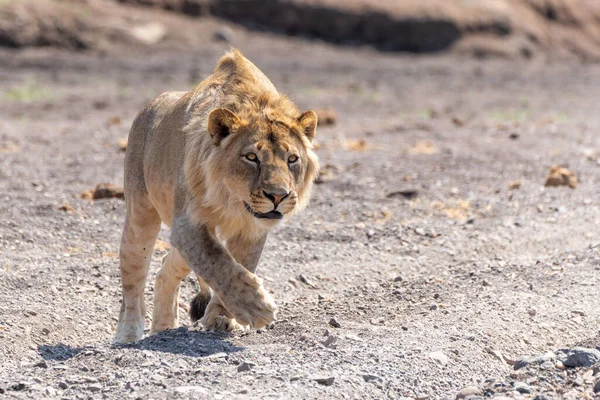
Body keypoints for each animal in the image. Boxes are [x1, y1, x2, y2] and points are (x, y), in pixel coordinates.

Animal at [112, 49, 318, 344]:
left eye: (292, 159)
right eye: (251, 157)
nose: (278, 196)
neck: (231, 202)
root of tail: (149, 105)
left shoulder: (251, 230)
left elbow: (238, 264)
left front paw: (222, 318)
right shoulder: (187, 223)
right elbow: (218, 263)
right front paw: (257, 307)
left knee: (165, 270)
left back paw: (164, 328)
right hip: (140, 216)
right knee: (133, 280)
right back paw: (128, 334)